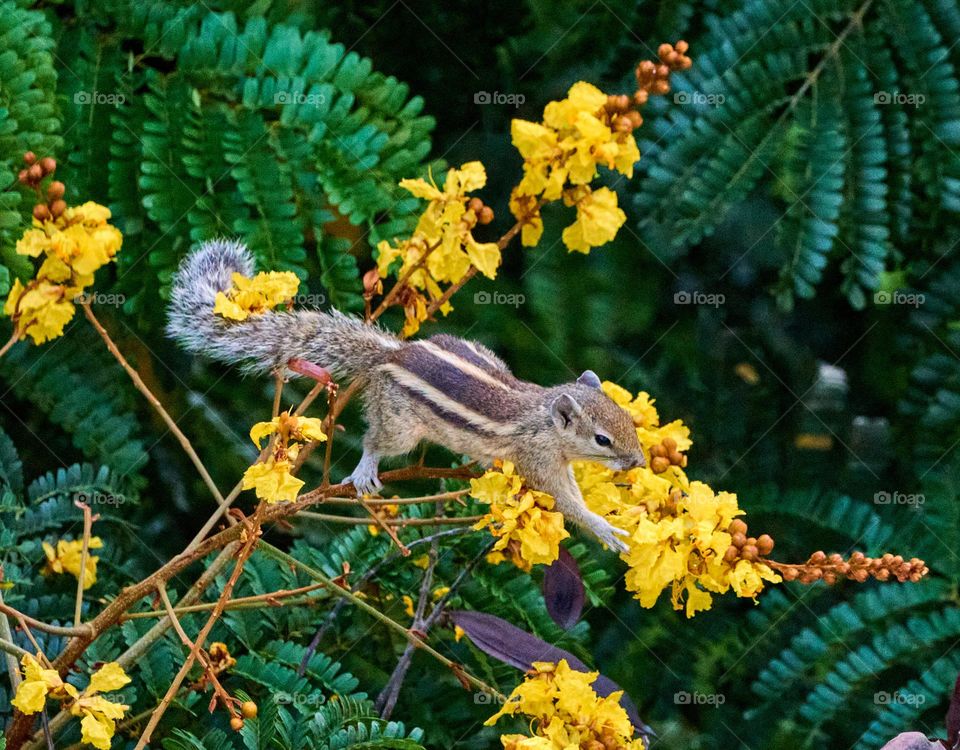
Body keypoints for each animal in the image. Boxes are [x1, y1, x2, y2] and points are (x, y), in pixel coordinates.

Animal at [166, 239, 645, 551]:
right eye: (603, 439)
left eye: (627, 420)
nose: (639, 462)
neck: (543, 418)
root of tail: (391, 353)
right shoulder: (540, 461)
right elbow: (565, 502)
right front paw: (605, 529)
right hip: (399, 425)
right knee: (375, 439)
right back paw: (365, 469)